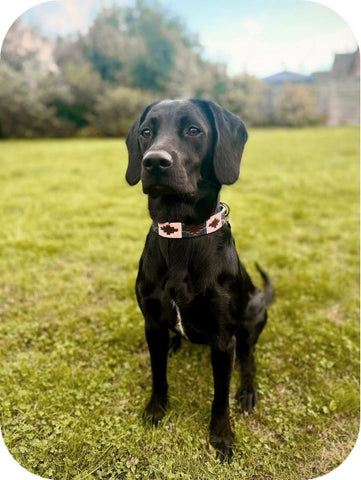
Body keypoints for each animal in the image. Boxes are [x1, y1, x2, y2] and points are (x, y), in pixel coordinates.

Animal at [125, 99, 272, 460]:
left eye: (194, 130)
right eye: (146, 132)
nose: (154, 161)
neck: (181, 234)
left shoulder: (223, 340)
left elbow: (220, 397)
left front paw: (221, 437)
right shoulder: (151, 324)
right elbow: (158, 375)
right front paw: (155, 410)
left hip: (252, 318)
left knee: (248, 358)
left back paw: (248, 392)